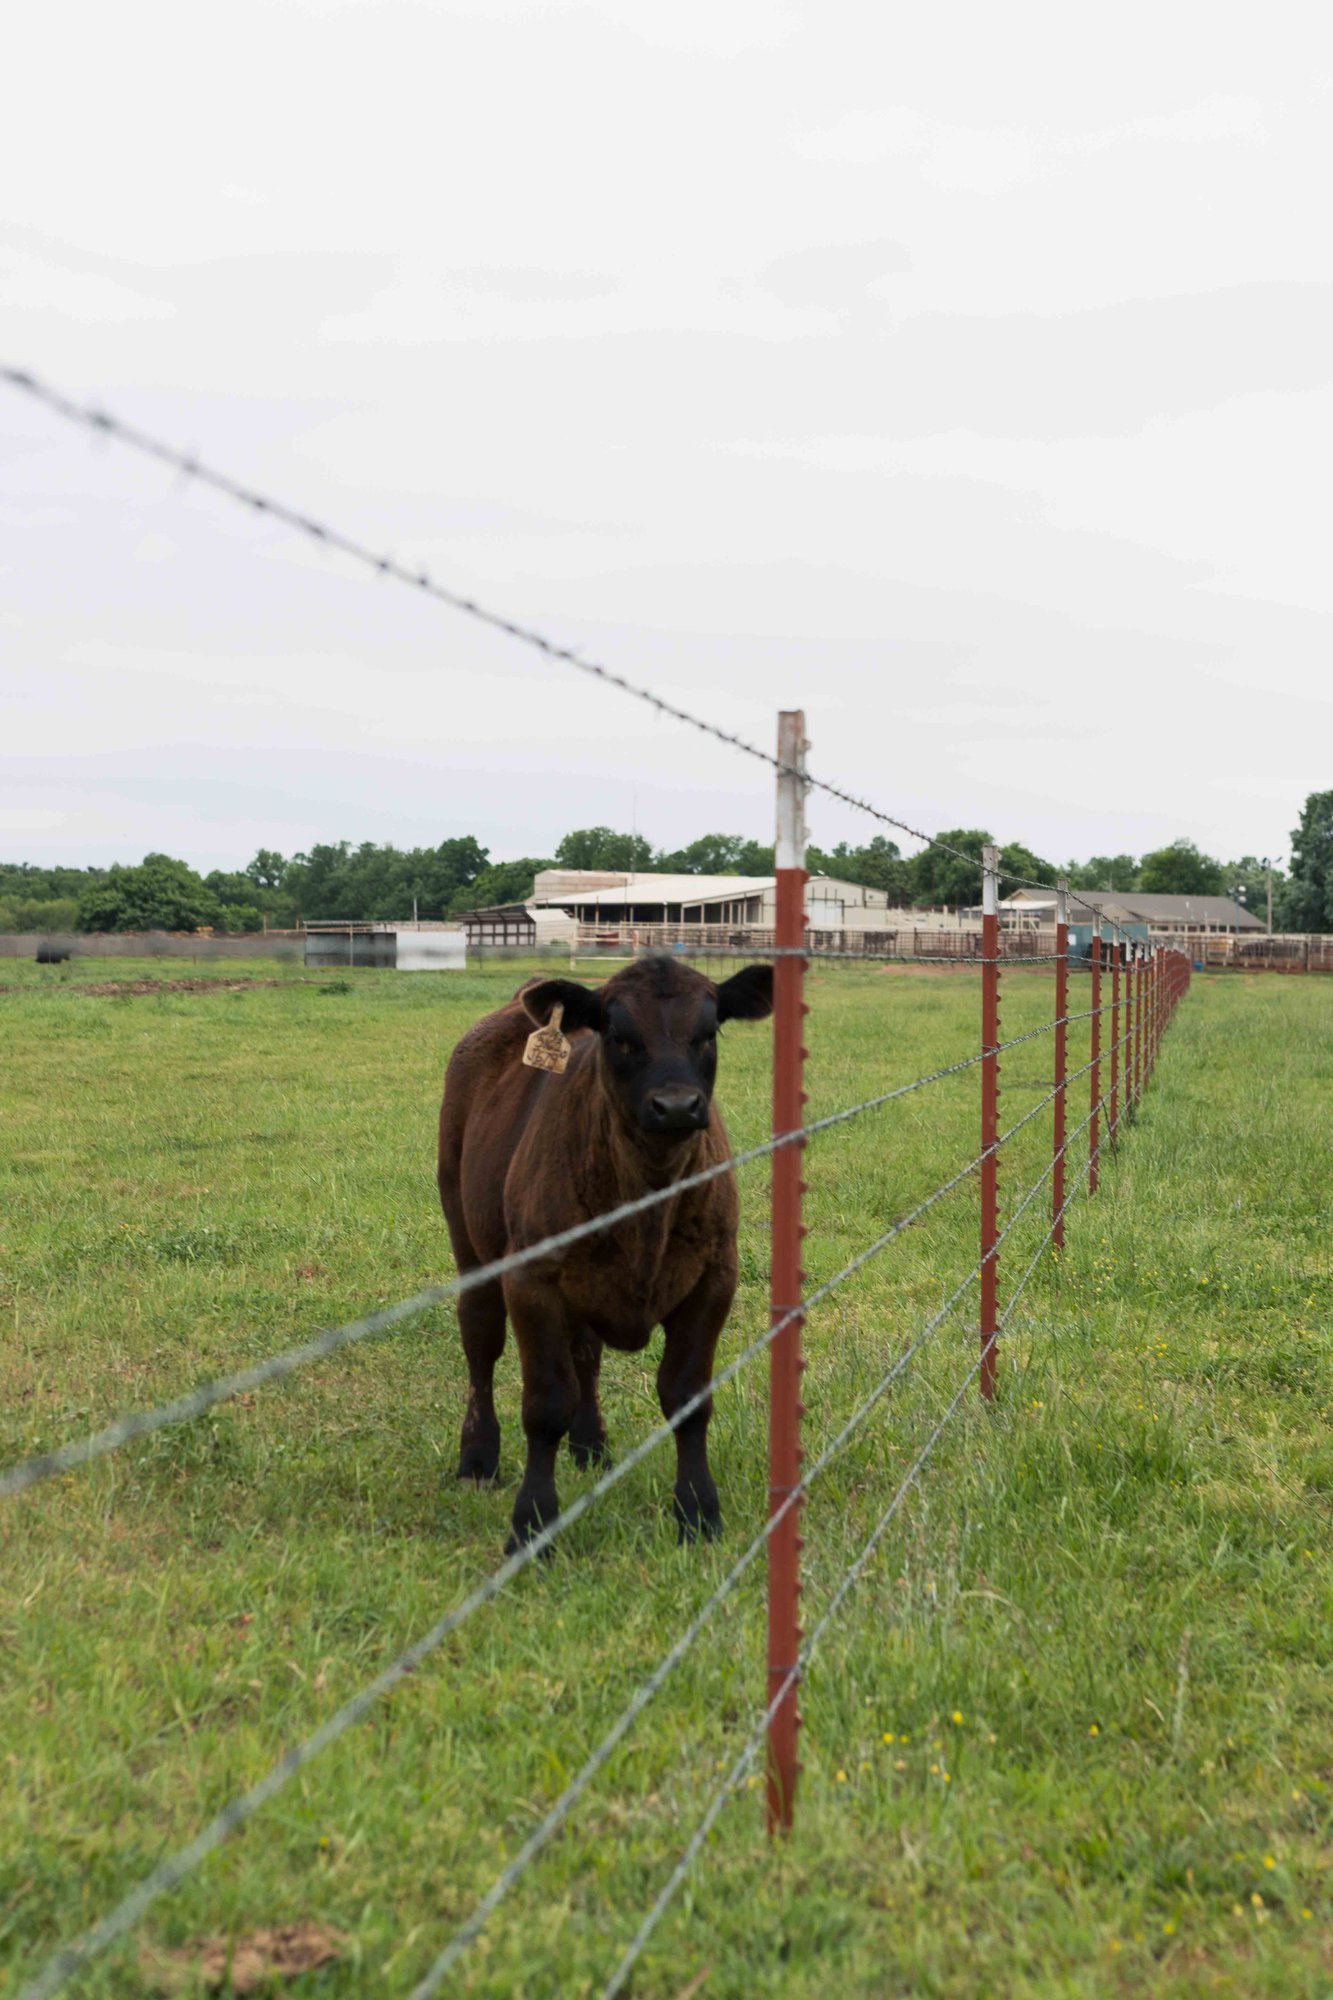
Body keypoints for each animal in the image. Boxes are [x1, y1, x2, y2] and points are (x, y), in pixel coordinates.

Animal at [437, 953, 773, 1553]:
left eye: (708, 1032)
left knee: (585, 1354)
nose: (676, 1105)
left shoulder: (715, 1278)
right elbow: (545, 1406)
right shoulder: (532, 1281)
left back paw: (591, 1446)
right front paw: (532, 1523)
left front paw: (698, 1512)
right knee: (480, 1340)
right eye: (619, 1035)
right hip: (469, 1238)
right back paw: (478, 1456)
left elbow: (688, 1398)